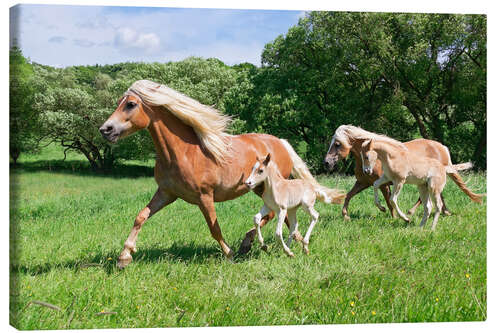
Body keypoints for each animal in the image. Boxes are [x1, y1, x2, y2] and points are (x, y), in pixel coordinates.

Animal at [98, 79, 340, 266]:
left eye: (130, 104)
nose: (105, 130)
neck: (183, 152)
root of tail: (280, 142)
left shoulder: (204, 196)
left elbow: (214, 228)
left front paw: (230, 254)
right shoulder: (167, 193)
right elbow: (140, 217)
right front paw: (124, 257)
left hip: (266, 188)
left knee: (272, 215)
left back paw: (248, 244)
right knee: (283, 215)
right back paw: (291, 240)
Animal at [322, 124, 478, 220]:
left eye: (337, 144)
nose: (327, 162)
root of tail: (442, 147)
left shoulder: (384, 184)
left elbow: (389, 201)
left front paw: (392, 215)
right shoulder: (363, 182)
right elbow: (348, 195)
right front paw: (346, 216)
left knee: (426, 197)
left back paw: (412, 212)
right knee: (436, 194)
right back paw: (445, 212)